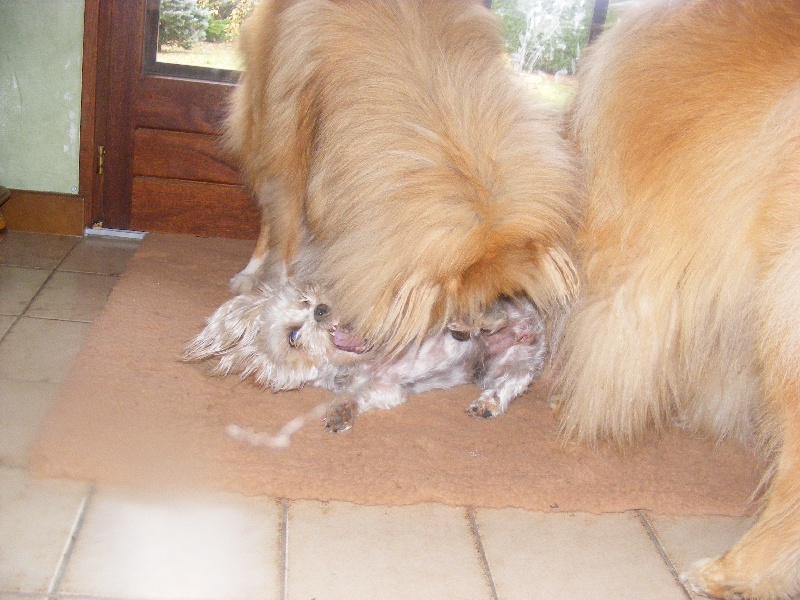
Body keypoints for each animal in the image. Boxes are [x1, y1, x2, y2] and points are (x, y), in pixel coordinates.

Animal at [184, 281, 546, 441]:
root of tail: (531, 325)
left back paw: (470, 322)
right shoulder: (387, 388)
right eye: (293, 337)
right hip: (510, 365)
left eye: (304, 299)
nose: (321, 309)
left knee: (489, 308)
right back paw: (487, 402)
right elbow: (355, 394)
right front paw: (340, 412)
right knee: (508, 383)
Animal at [224, 0, 579, 355]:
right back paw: (248, 273)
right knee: (269, 216)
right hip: (263, 129)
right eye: (457, 301)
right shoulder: (291, 155)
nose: (473, 327)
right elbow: (288, 244)